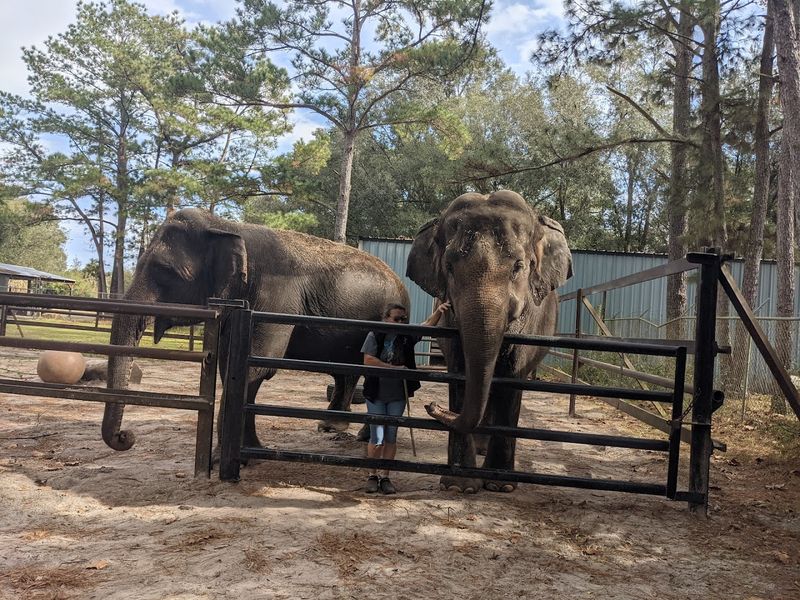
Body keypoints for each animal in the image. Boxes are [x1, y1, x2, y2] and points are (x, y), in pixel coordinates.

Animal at [103, 208, 409, 453]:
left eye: (165, 271)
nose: (126, 436)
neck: (226, 226)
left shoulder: (277, 297)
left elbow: (257, 366)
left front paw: (232, 456)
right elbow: (231, 365)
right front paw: (248, 451)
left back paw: (362, 436)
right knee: (348, 372)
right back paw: (333, 428)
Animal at [406, 190, 572, 493]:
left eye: (519, 266)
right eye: (449, 266)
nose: (431, 406)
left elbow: (511, 379)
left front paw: (500, 486)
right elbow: (462, 374)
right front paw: (460, 486)